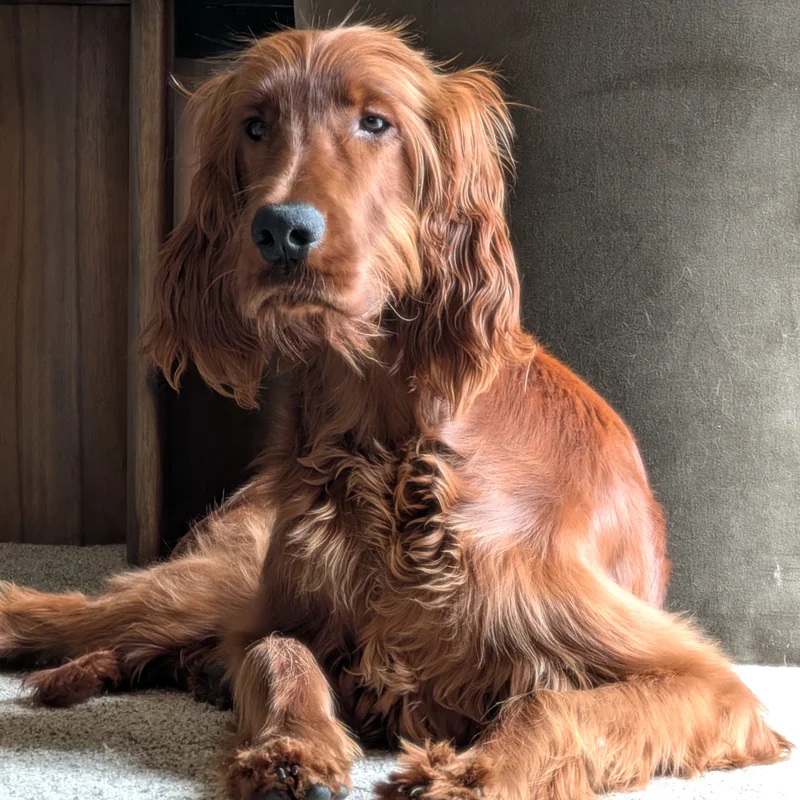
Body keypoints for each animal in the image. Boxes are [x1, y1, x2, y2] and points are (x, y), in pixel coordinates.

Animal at [0, 24, 790, 800]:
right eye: (256, 125)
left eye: (375, 122)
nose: (281, 230)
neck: (383, 441)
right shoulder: (273, 612)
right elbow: (275, 651)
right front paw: (290, 752)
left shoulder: (706, 682)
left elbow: (546, 700)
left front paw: (474, 775)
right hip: (209, 583)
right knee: (72, 614)